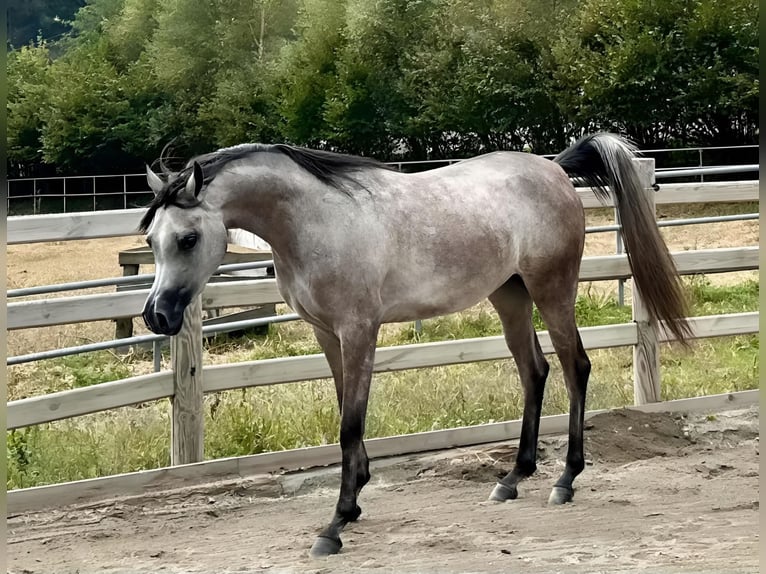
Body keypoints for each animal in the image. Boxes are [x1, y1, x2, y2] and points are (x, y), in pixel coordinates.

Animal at [141, 134, 692, 560]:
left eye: (188, 239)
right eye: (151, 241)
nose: (156, 316)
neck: (316, 220)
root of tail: (553, 168)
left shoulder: (359, 331)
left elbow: (350, 423)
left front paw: (335, 524)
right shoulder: (327, 334)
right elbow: (345, 410)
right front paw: (355, 500)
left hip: (552, 290)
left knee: (576, 366)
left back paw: (565, 481)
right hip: (509, 295)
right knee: (534, 371)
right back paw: (513, 478)